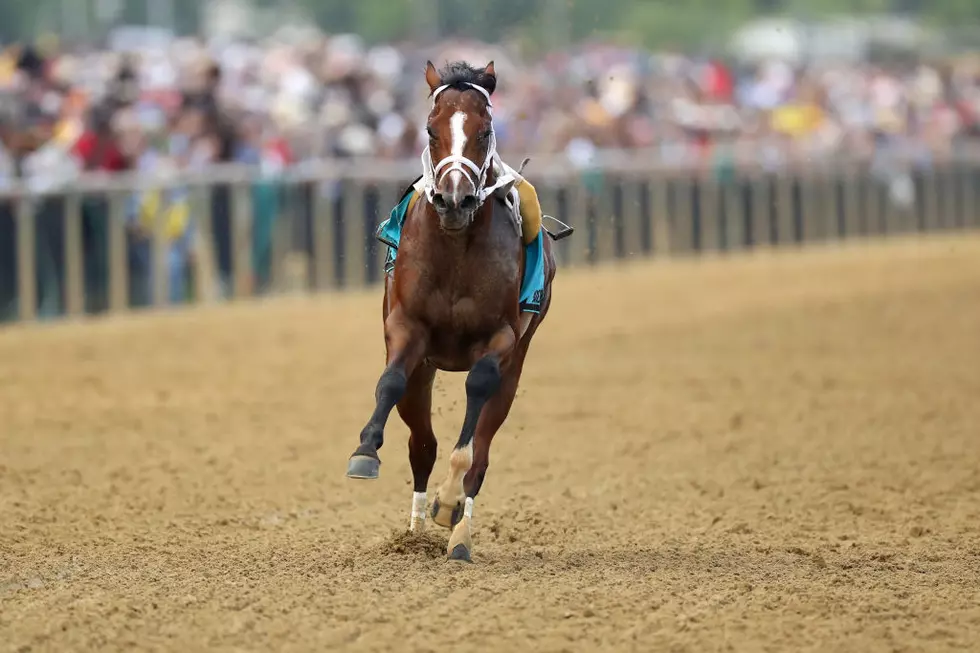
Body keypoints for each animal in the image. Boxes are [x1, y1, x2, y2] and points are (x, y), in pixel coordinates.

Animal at [345, 60, 571, 563]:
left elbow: (477, 396)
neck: (454, 244)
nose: (453, 199)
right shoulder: (406, 328)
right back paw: (413, 536)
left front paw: (448, 504)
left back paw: (458, 536)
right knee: (422, 444)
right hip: (426, 368)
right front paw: (365, 451)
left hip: (516, 363)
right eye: (431, 130)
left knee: (481, 449)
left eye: (484, 131)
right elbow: (390, 383)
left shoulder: (502, 336)